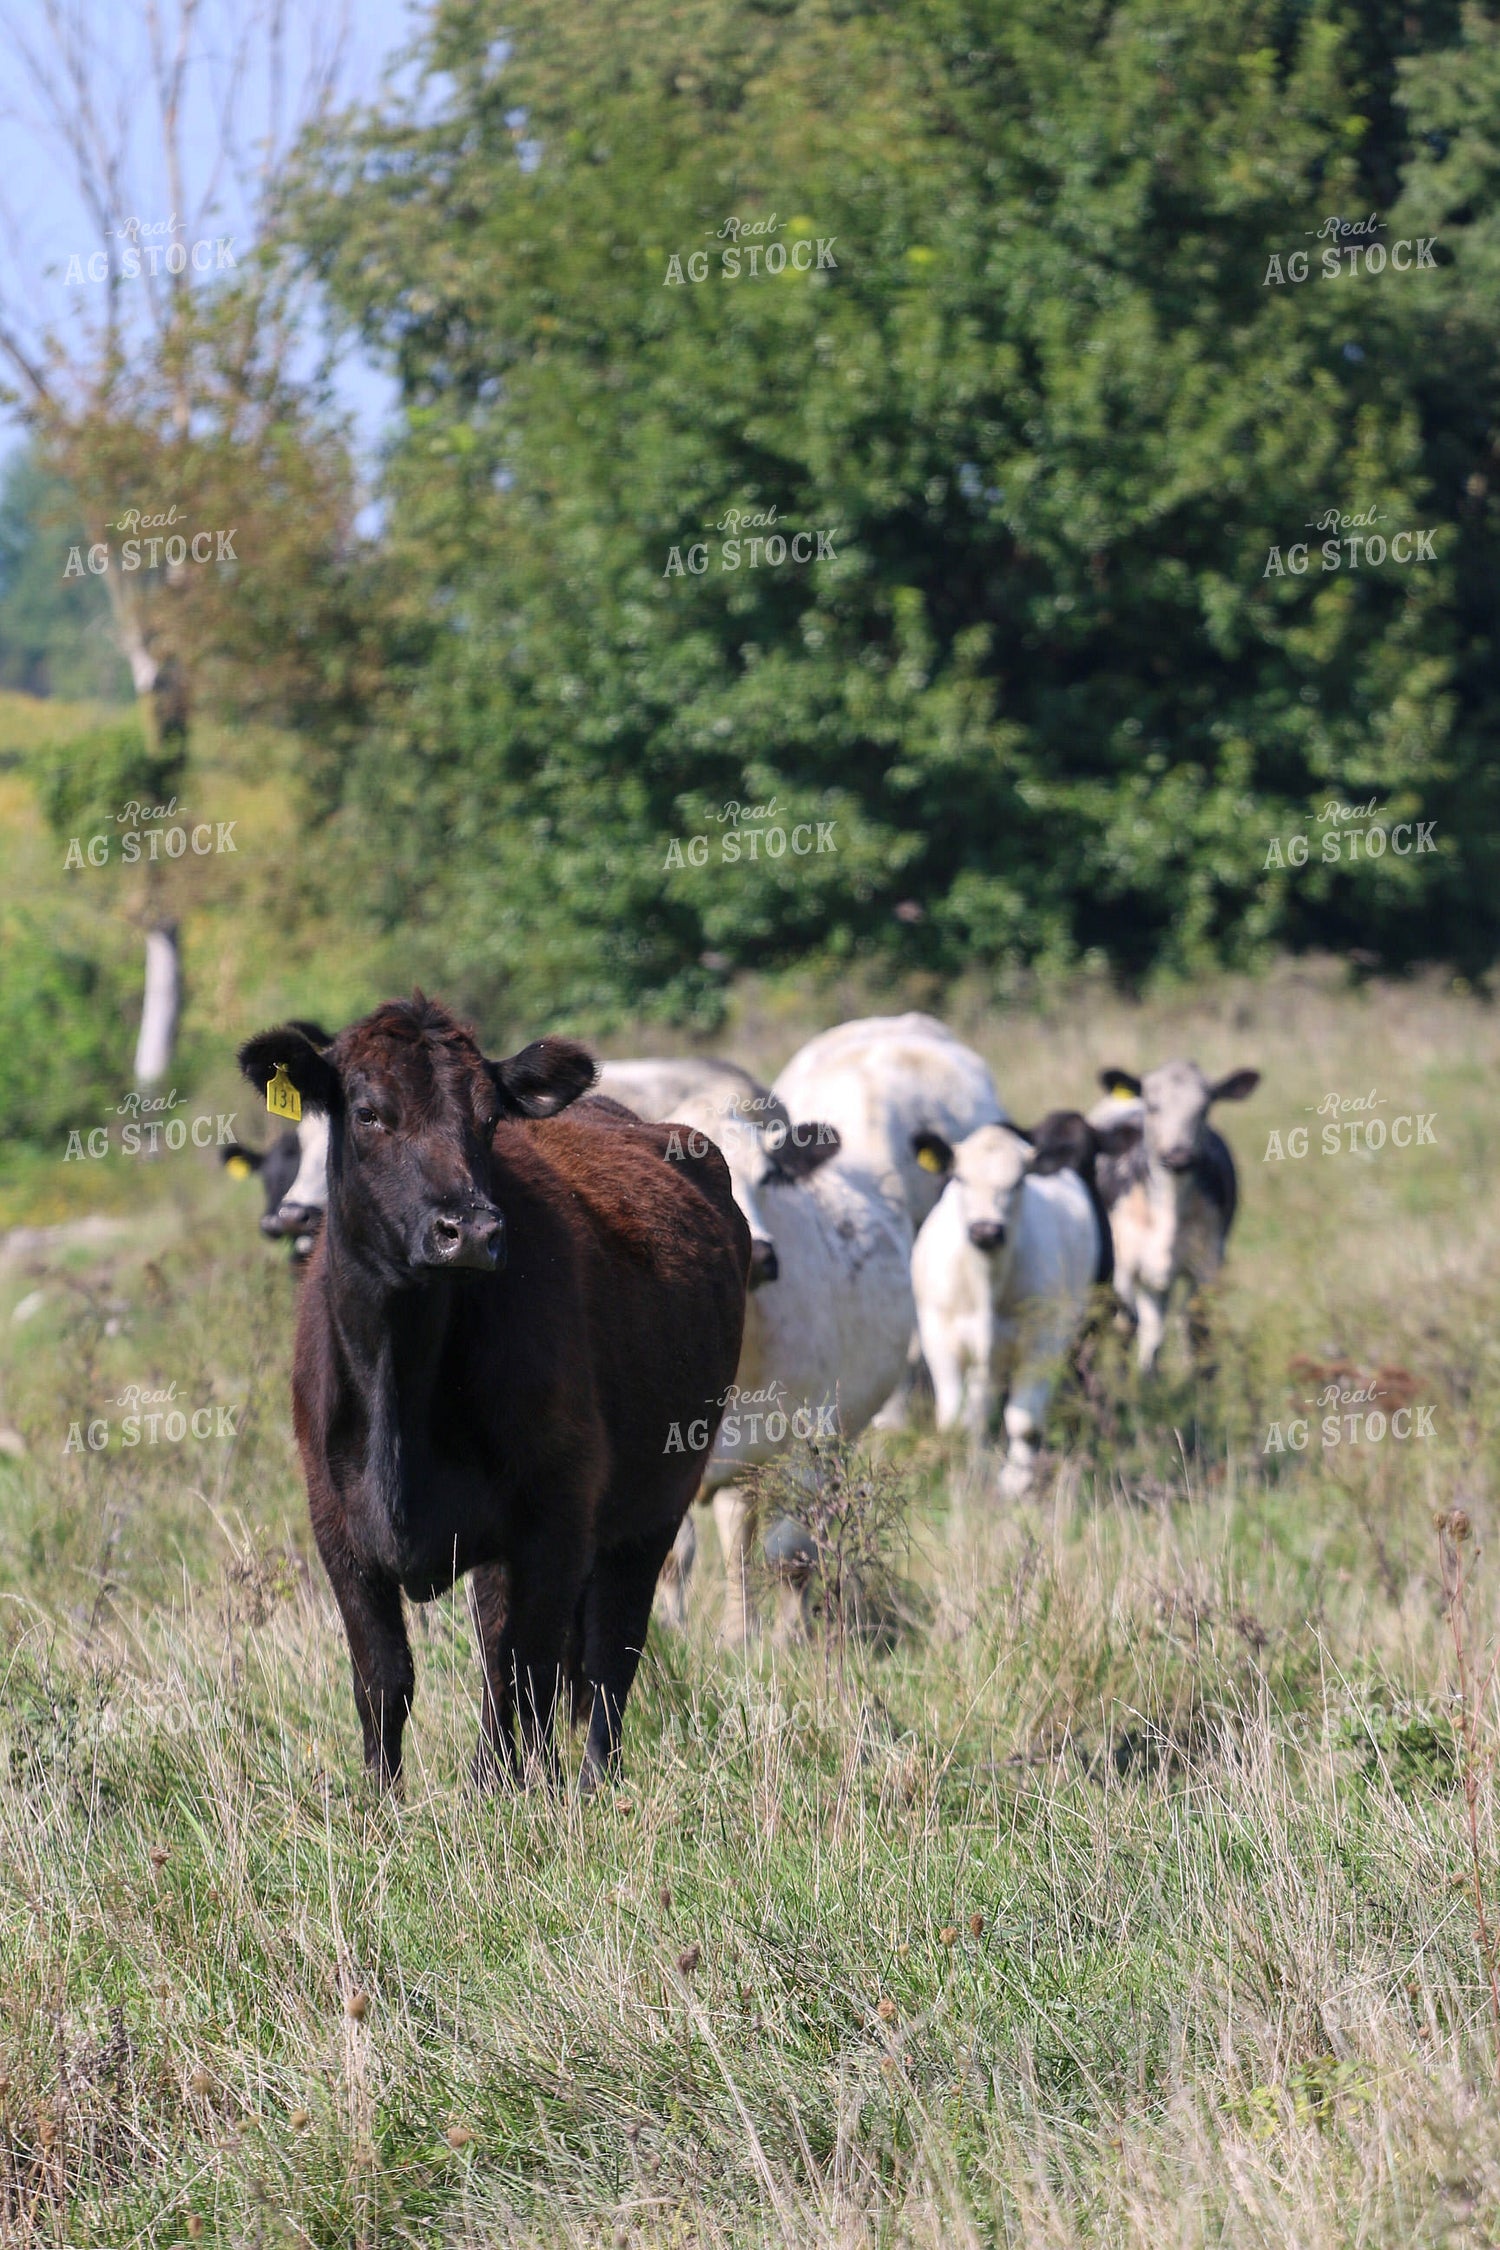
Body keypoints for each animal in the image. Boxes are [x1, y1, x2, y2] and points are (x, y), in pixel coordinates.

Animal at [237, 997, 749, 1792]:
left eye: (487, 1120)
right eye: (367, 1112)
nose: (470, 1230)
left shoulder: (553, 1514)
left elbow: (523, 1669)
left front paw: (506, 1795)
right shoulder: (336, 1524)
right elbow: (383, 1678)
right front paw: (379, 1804)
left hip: (657, 1503)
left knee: (608, 1652)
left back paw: (593, 1781)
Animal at [909, 1111, 1141, 1495]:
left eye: (1018, 1182)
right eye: (959, 1177)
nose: (986, 1230)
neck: (987, 1280)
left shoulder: (1042, 1341)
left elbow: (1024, 1421)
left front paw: (1015, 1482)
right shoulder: (938, 1335)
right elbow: (956, 1420)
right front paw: (963, 1472)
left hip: (1088, 1325)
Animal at [1087, 1061, 1260, 1374]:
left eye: (1204, 1108)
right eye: (1153, 1106)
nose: (1179, 1155)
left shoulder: (1208, 1265)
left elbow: (1196, 1326)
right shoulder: (1123, 1268)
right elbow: (1124, 1326)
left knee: (1156, 1327)